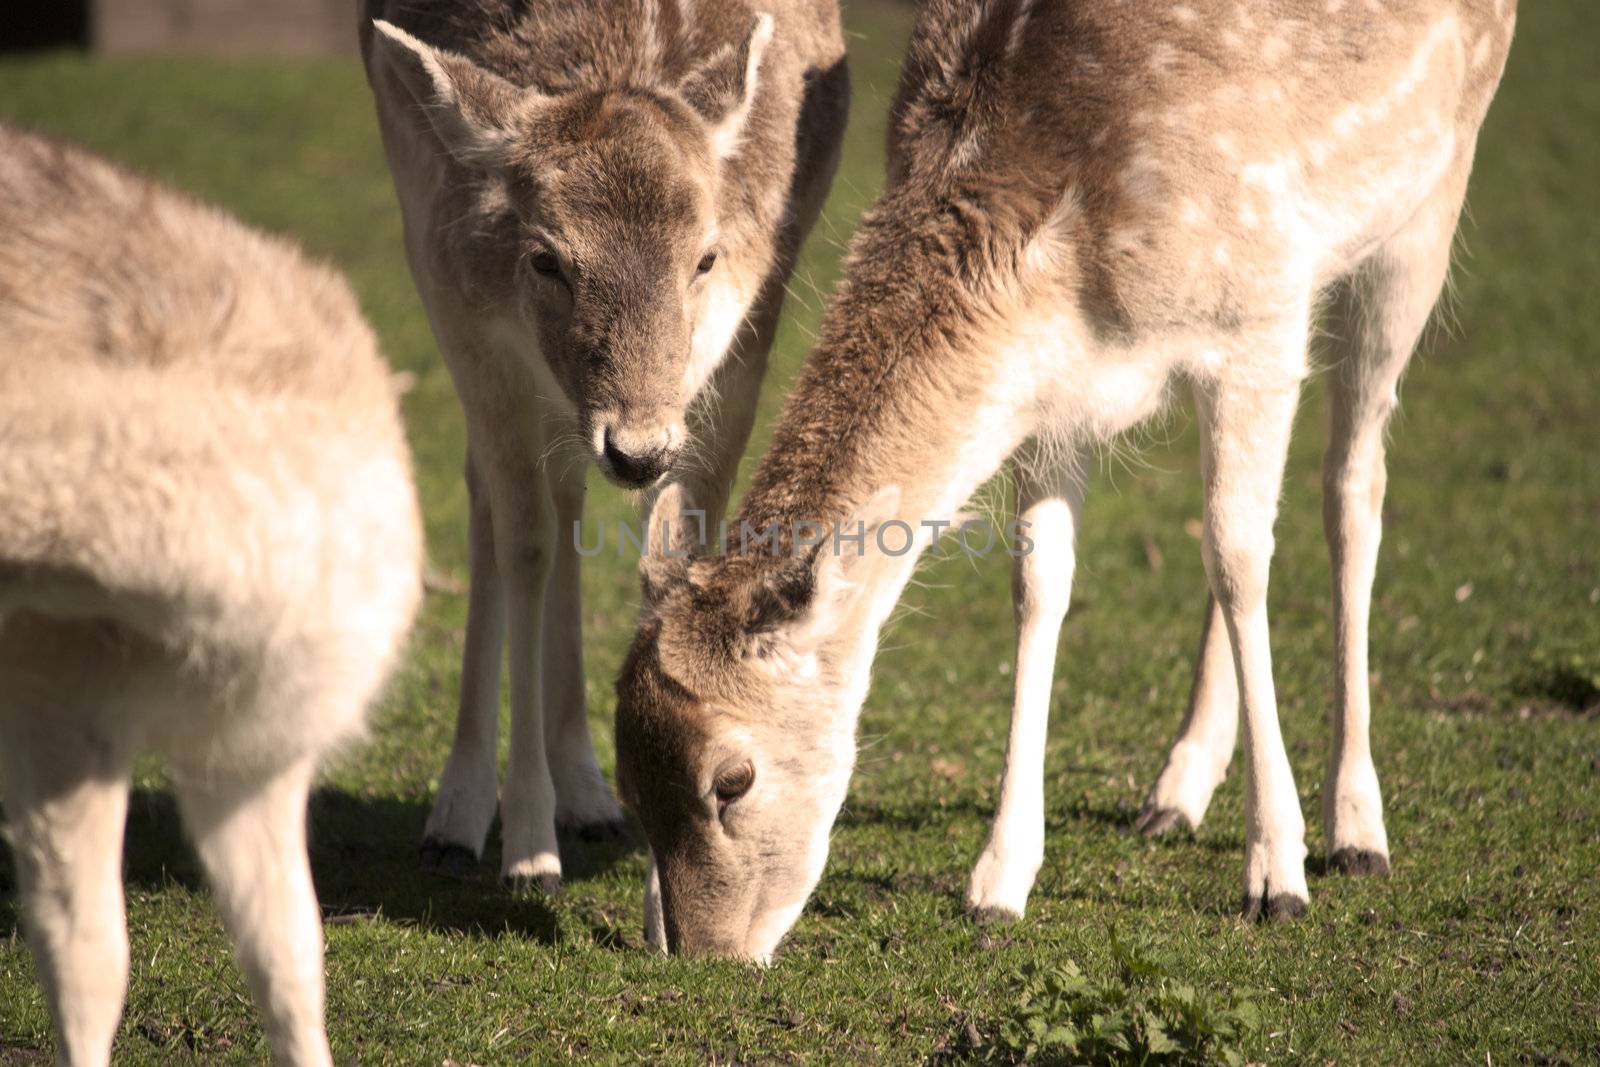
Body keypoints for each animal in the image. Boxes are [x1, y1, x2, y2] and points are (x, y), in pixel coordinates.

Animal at [361, 0, 851, 889]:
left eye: (707, 255)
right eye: (544, 256)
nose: (638, 449)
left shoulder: (754, 309)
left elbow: (677, 546)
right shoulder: (456, 297)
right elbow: (523, 544)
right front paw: (527, 847)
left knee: (562, 490)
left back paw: (587, 796)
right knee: (498, 497)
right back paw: (462, 812)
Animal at [608, 0, 1510, 959]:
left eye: (731, 778)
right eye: (628, 779)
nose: (702, 953)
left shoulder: (1260, 313)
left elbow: (1240, 563)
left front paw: (1278, 874)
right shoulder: (1051, 391)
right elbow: (1041, 588)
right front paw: (998, 881)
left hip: (1430, 195)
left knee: (1351, 485)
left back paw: (1356, 825)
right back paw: (1177, 791)